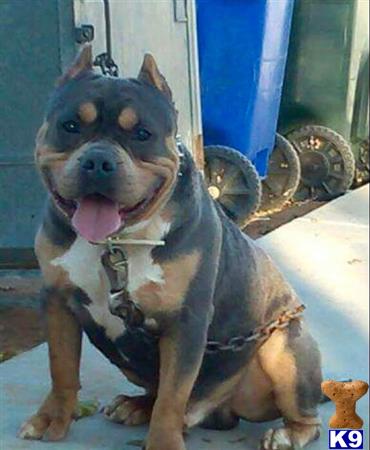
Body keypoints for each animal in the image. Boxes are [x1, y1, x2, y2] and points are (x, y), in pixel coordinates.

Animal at [18, 44, 322, 450]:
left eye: (142, 134)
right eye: (70, 126)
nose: (98, 161)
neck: (116, 244)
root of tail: (218, 410)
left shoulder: (186, 322)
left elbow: (172, 395)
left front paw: (162, 440)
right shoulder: (57, 301)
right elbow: (61, 367)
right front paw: (52, 418)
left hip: (282, 345)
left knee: (304, 414)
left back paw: (288, 433)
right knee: (157, 390)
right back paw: (135, 405)